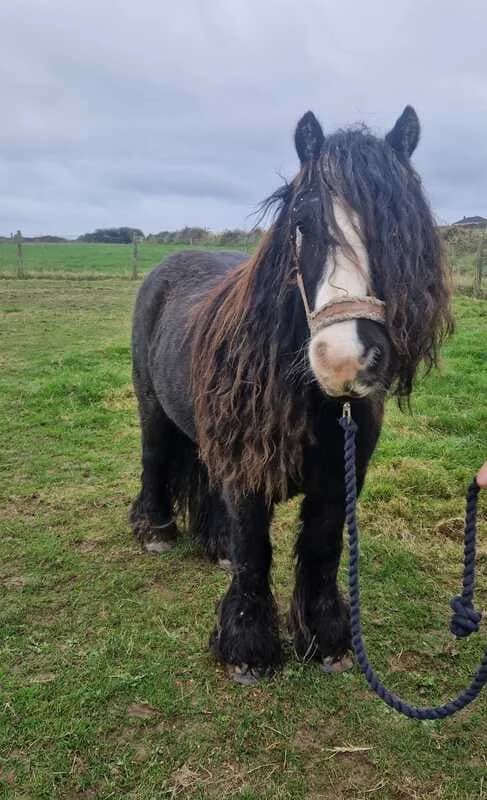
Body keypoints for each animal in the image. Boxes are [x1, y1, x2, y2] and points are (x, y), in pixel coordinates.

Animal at [130, 107, 452, 683]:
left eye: (397, 227)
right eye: (303, 224)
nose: (344, 358)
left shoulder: (338, 478)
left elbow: (322, 547)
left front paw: (326, 642)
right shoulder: (249, 474)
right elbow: (254, 548)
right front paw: (248, 648)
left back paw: (214, 546)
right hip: (152, 406)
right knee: (155, 457)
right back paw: (156, 531)